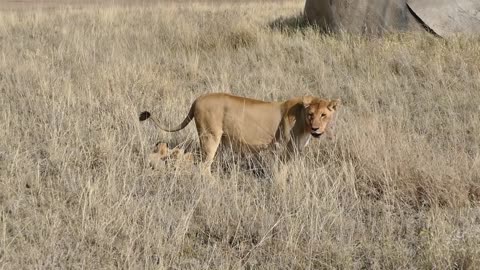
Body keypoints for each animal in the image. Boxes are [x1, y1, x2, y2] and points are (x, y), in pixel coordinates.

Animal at [141, 92, 340, 174]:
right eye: (311, 114)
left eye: (323, 115)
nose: (316, 128)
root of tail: (197, 99)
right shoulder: (280, 147)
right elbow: (281, 172)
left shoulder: (293, 151)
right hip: (210, 136)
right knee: (204, 166)